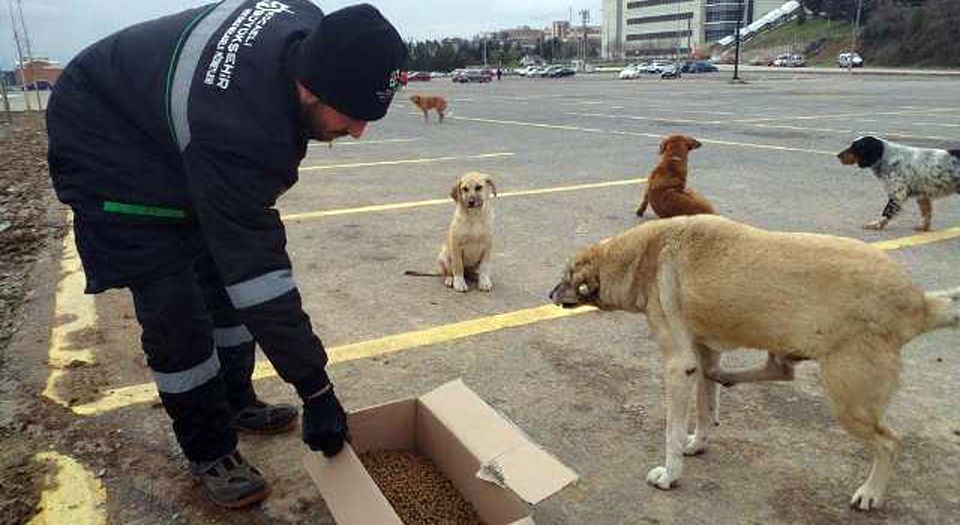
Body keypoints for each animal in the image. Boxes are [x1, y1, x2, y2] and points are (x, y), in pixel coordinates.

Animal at [552, 215, 956, 510]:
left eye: (565, 275)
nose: (549, 293)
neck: (640, 255)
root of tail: (920, 302)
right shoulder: (701, 354)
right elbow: (704, 407)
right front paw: (697, 443)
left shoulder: (678, 366)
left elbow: (671, 431)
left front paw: (670, 475)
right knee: (777, 370)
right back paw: (726, 376)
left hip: (849, 401)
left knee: (890, 443)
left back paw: (871, 492)